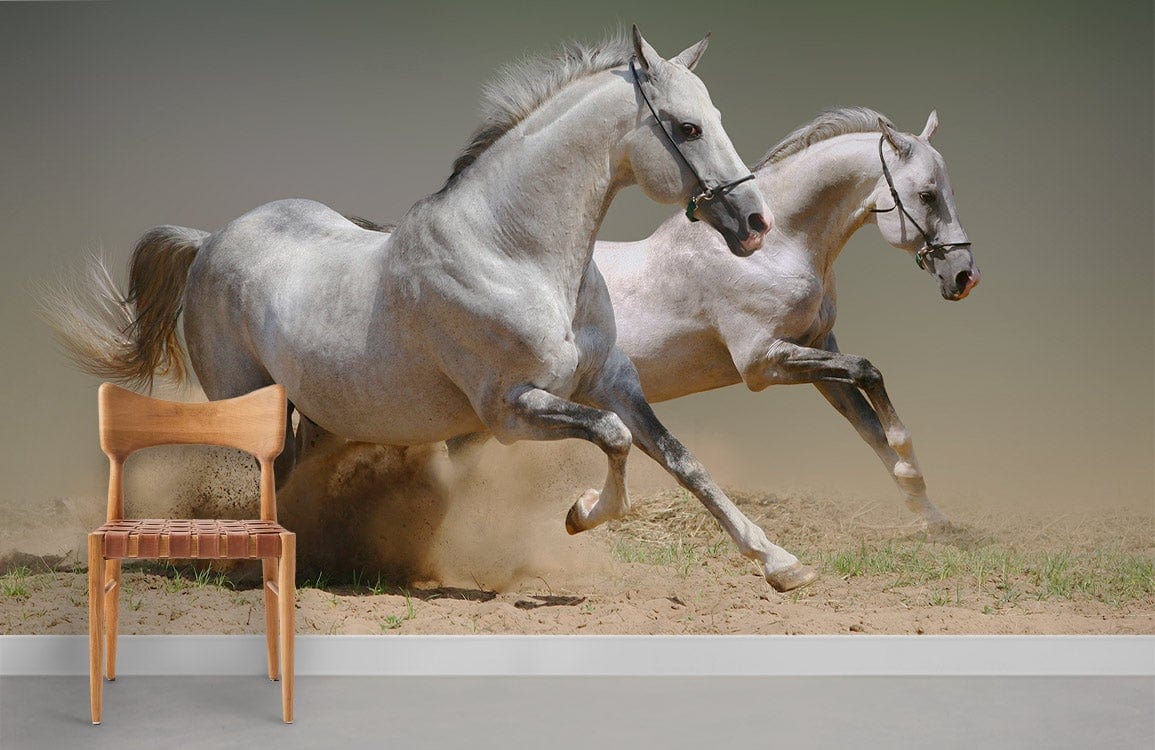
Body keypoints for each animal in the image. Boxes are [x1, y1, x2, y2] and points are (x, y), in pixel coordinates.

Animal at [47, 29, 822, 592]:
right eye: (687, 129)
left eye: (715, 118)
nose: (755, 223)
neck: (515, 253)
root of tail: (209, 240)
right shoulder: (510, 410)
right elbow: (612, 438)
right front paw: (580, 515)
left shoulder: (611, 382)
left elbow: (680, 459)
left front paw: (781, 565)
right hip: (245, 398)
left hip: (317, 412)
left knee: (293, 476)